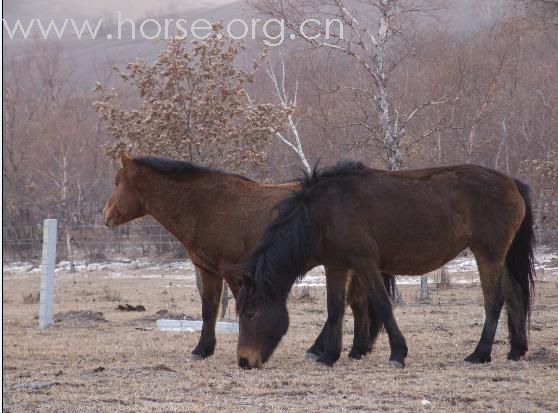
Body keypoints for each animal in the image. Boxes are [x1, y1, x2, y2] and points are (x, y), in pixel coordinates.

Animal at [101, 154, 390, 360]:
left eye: (117, 182)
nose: (106, 215)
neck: (207, 204)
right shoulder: (208, 271)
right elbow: (209, 310)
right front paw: (202, 349)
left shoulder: (233, 273)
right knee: (358, 304)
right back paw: (354, 349)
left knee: (352, 305)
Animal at [237, 160, 540, 366]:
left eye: (250, 313)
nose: (244, 361)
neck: (324, 214)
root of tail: (512, 182)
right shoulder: (337, 266)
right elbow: (335, 308)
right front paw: (329, 356)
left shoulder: (365, 263)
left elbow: (382, 305)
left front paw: (397, 353)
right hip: (502, 257)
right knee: (514, 296)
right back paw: (516, 350)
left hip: (487, 254)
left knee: (494, 301)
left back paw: (480, 353)